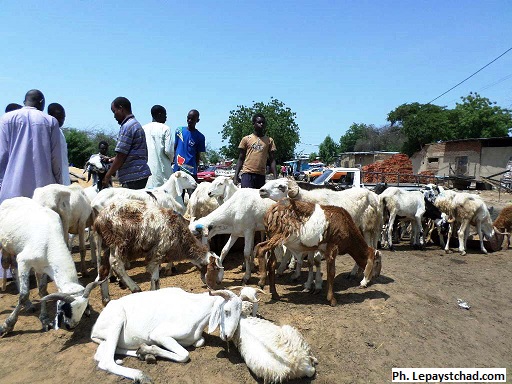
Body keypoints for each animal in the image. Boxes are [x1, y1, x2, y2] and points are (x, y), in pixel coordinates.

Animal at [0, 198, 101, 336]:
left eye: (83, 308)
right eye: (67, 308)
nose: (71, 326)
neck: (49, 241)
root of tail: (10, 199)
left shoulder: (42, 268)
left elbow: (42, 291)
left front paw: (45, 320)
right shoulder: (24, 261)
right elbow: (24, 294)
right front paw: (7, 325)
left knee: (13, 268)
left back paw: (29, 305)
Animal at [95, 200, 223, 304]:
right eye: (216, 269)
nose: (218, 283)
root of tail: (99, 220)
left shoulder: (158, 255)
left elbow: (156, 277)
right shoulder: (158, 251)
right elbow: (155, 277)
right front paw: (153, 291)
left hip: (106, 246)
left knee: (103, 269)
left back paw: (106, 299)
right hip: (118, 242)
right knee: (116, 264)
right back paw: (135, 288)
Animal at [254, 198, 382, 306]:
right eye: (376, 263)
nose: (376, 275)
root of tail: (271, 211)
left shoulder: (320, 249)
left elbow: (317, 265)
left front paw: (316, 287)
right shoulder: (333, 247)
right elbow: (331, 272)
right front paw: (332, 299)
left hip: (272, 235)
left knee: (271, 263)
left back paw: (275, 294)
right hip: (279, 235)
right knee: (260, 248)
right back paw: (262, 280)